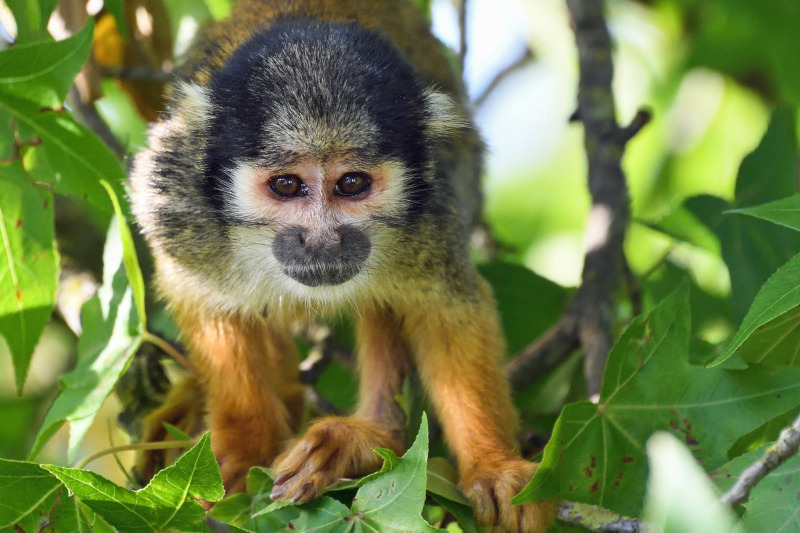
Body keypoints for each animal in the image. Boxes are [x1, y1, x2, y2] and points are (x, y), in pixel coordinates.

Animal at [131, 1, 556, 528]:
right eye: (287, 185)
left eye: (351, 183)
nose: (322, 242)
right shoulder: (178, 203)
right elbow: (202, 297)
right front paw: (240, 449)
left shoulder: (432, 212)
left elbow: (448, 309)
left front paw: (495, 465)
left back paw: (370, 440)